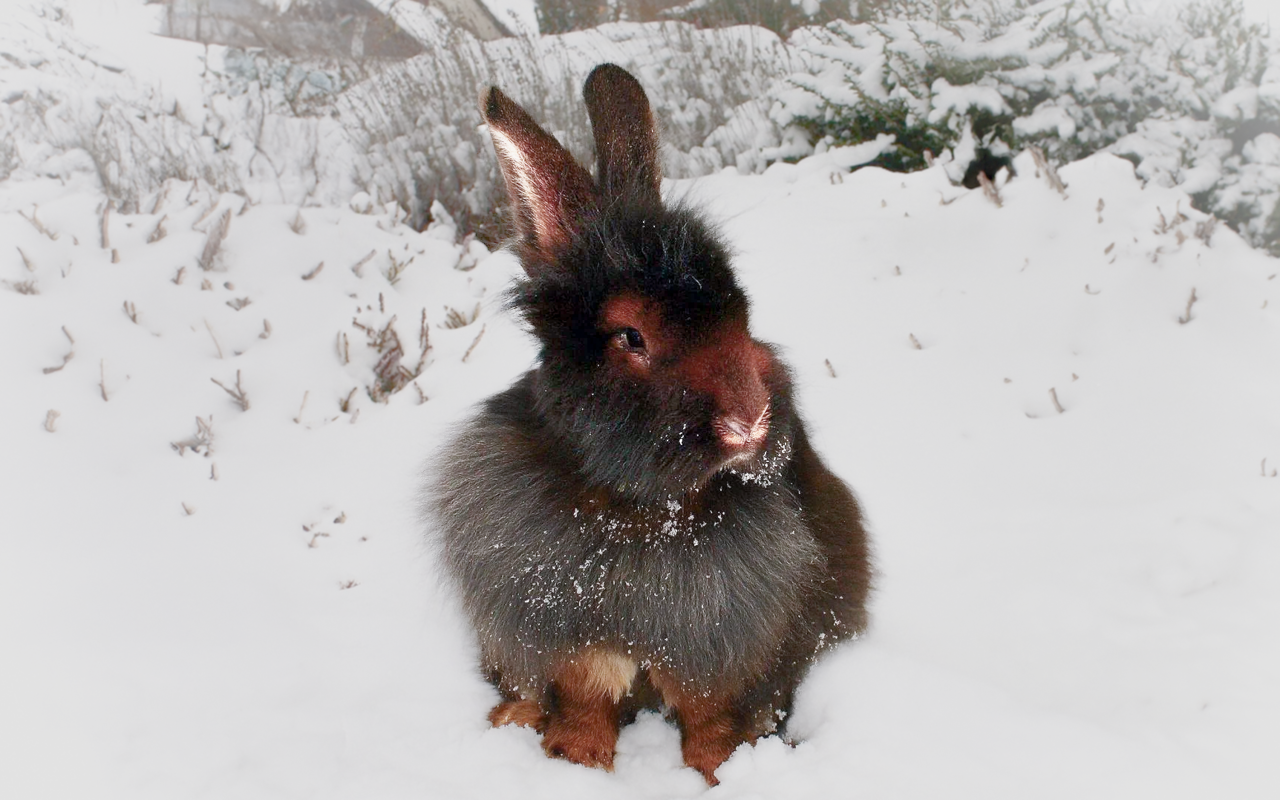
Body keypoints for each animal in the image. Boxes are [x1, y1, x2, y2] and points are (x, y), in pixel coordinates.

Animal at [430, 64, 870, 788]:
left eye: (741, 313)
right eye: (630, 335)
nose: (749, 422)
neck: (641, 505)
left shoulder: (723, 636)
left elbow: (707, 710)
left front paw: (720, 771)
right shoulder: (566, 630)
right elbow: (586, 696)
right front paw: (577, 762)